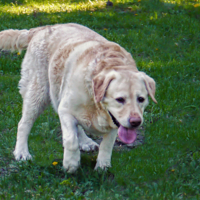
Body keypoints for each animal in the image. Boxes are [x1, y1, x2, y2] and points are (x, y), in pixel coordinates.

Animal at [0, 23, 156, 173]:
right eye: (120, 99)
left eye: (141, 99)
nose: (136, 122)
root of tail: (43, 28)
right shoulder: (65, 109)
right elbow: (71, 140)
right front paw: (71, 163)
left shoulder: (114, 122)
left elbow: (107, 144)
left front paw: (103, 166)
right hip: (38, 93)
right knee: (23, 124)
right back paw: (22, 152)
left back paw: (86, 142)